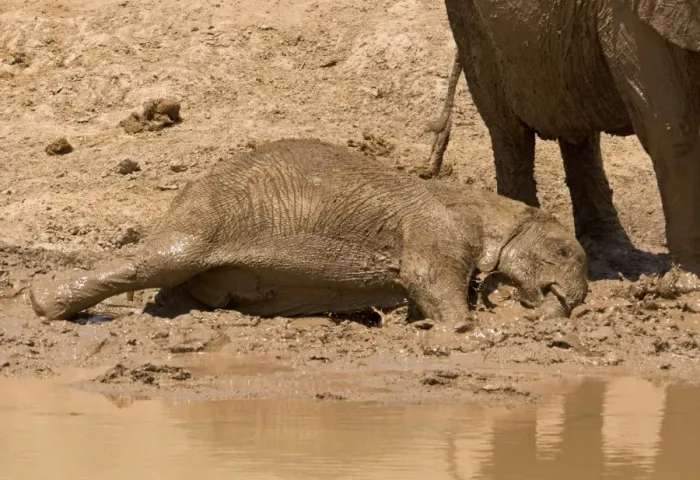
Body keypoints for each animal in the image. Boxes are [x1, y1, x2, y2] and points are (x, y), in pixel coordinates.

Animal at [424, 0, 700, 286]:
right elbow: (674, 131)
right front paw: (687, 285)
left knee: (578, 127)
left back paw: (612, 253)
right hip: (471, 22)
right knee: (509, 131)